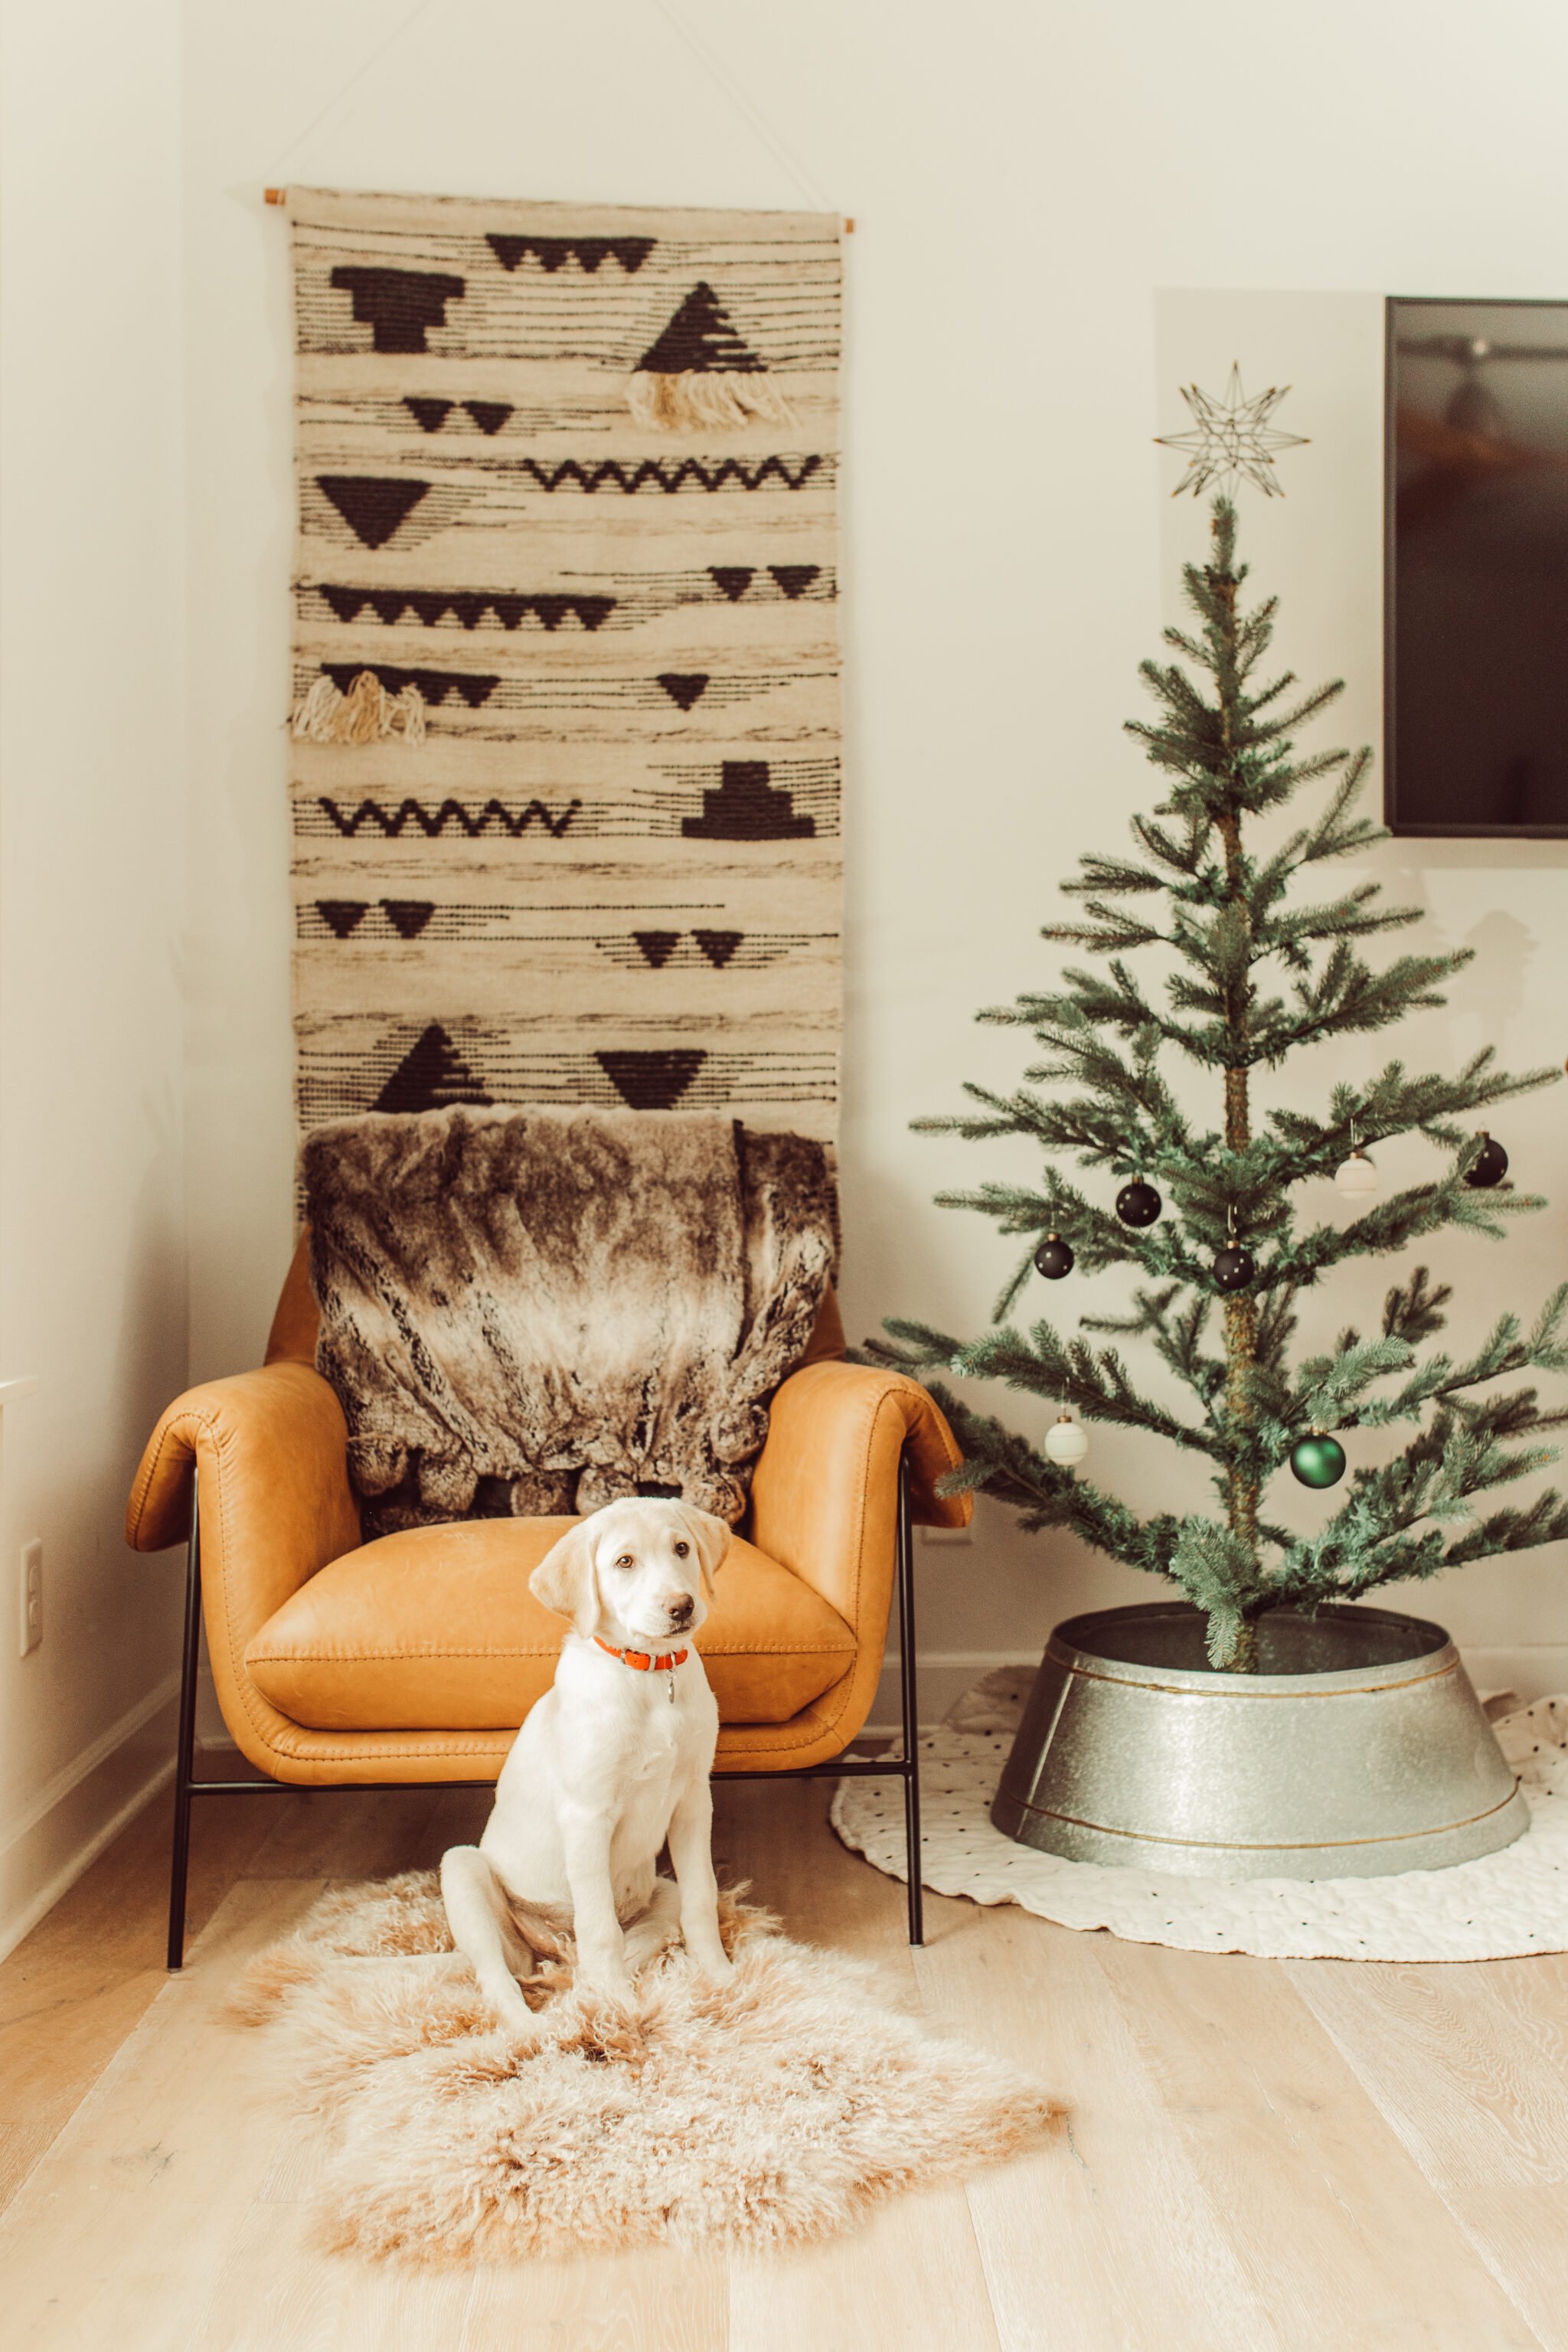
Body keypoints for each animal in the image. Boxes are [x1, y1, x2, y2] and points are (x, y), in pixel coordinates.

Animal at [442, 1505, 738, 2022]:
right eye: (624, 1562)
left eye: (681, 1548)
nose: (681, 1606)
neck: (650, 1676)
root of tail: (552, 1949)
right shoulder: (587, 1816)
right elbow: (599, 1925)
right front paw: (615, 2002)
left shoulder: (694, 1801)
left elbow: (703, 1898)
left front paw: (719, 1976)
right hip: (461, 1869)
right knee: (499, 1977)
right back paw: (544, 2024)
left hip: (660, 1891)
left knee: (637, 1936)